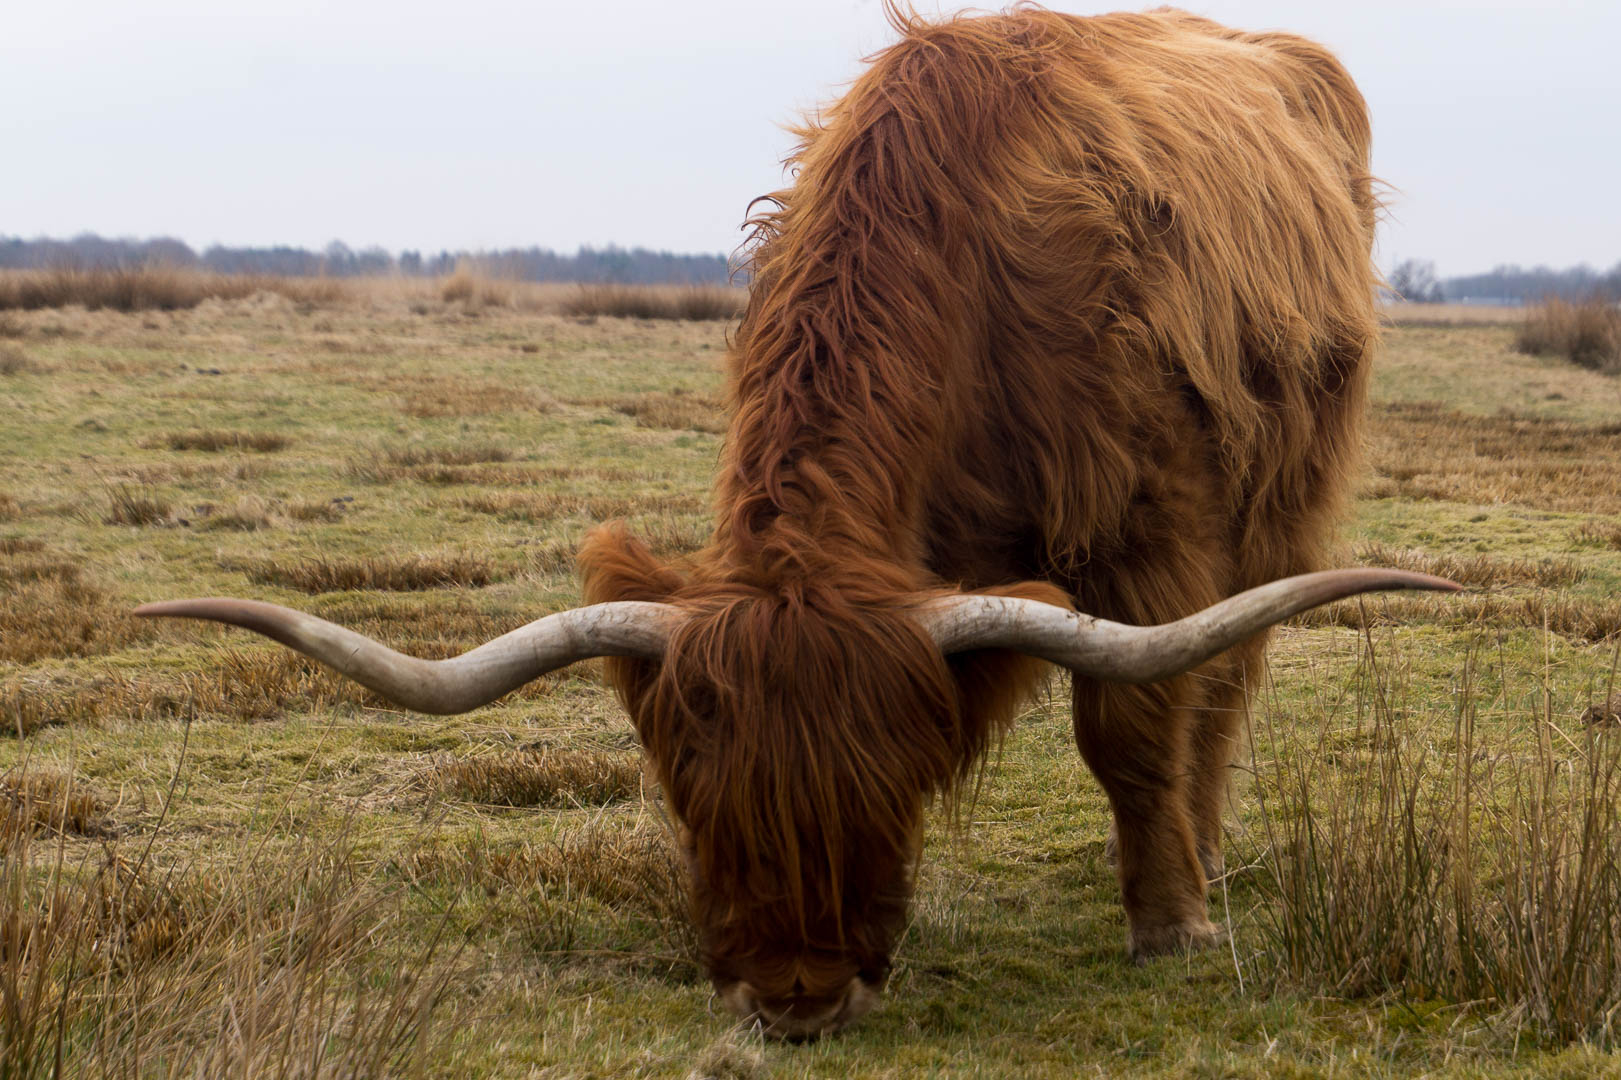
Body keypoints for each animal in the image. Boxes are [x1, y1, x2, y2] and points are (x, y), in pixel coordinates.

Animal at [137, 6, 1457, 1040]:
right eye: (692, 793)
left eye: (884, 786)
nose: (796, 998)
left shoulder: (1152, 524)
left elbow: (1133, 724)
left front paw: (1171, 920)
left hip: (1280, 501)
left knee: (1222, 683)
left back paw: (1203, 849)